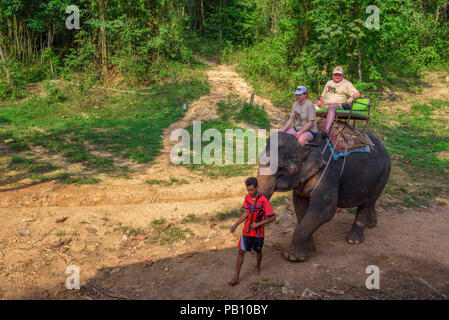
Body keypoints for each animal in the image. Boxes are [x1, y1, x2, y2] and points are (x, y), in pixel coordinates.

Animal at [258, 131, 390, 262]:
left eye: (279, 167)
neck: (307, 146)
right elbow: (300, 205)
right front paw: (310, 249)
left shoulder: (328, 173)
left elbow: (324, 209)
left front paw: (293, 257)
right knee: (370, 202)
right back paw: (370, 225)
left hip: (383, 175)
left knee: (366, 204)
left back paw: (354, 240)